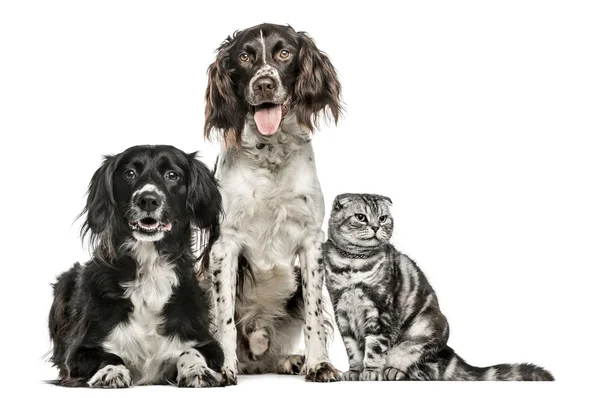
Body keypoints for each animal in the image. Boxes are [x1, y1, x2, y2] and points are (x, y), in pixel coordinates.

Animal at [48, 145, 225, 388]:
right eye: (129, 174)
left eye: (172, 175)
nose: (148, 199)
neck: (149, 268)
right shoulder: (78, 352)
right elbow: (109, 355)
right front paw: (112, 371)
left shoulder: (209, 344)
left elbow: (191, 352)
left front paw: (197, 370)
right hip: (65, 281)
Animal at [203, 23, 342, 384]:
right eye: (244, 56)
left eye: (284, 53)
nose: (264, 83)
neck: (269, 154)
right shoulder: (224, 245)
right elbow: (224, 319)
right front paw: (223, 368)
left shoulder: (311, 242)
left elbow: (314, 317)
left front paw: (319, 365)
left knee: (267, 358)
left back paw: (290, 361)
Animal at [324, 194, 552, 380]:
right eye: (361, 217)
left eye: (382, 218)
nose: (375, 227)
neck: (351, 265)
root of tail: (447, 351)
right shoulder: (341, 310)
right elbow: (352, 349)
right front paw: (354, 371)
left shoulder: (380, 310)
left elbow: (374, 347)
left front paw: (370, 371)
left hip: (425, 331)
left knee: (421, 369)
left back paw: (394, 371)